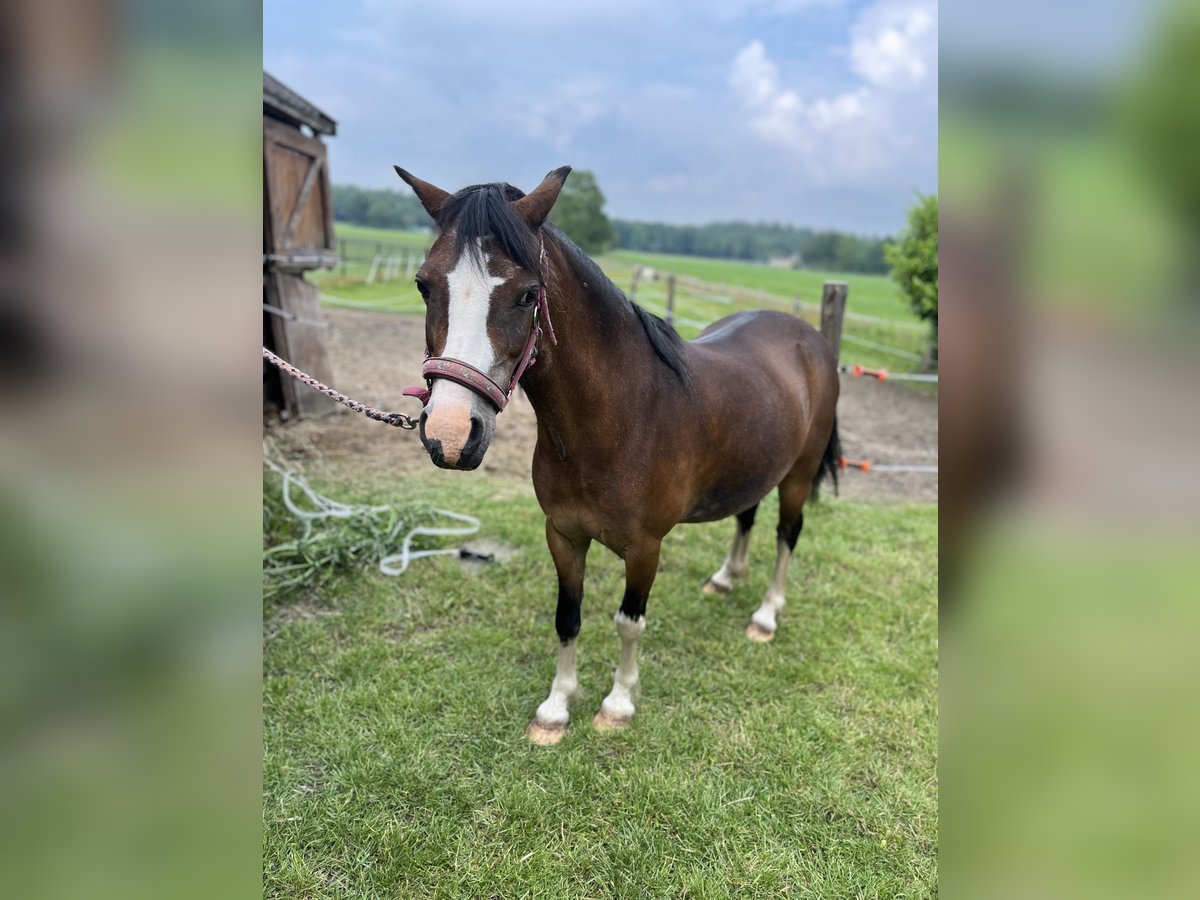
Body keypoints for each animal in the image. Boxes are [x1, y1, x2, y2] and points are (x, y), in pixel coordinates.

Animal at [398, 165, 840, 744]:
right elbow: (568, 617)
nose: (450, 435)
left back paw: (765, 616)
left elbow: (629, 623)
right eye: (424, 284)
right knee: (746, 515)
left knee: (788, 534)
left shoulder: (646, 548)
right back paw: (726, 579)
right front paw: (556, 709)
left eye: (527, 294)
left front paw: (617, 705)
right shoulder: (563, 535)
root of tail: (808, 337)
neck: (618, 424)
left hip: (799, 474)